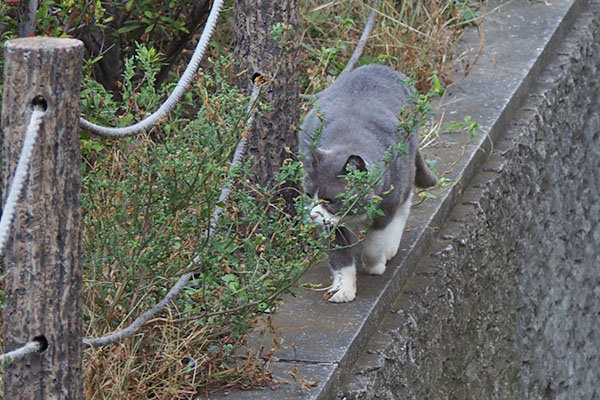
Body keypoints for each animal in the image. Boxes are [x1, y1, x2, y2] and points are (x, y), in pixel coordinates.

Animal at [298, 64, 436, 304]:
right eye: (308, 195)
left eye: (329, 200)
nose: (313, 215)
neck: (348, 138)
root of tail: (378, 66)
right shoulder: (332, 225)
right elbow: (339, 257)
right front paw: (342, 289)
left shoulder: (386, 204)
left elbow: (375, 241)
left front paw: (374, 265)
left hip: (406, 166)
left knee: (405, 203)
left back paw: (390, 248)